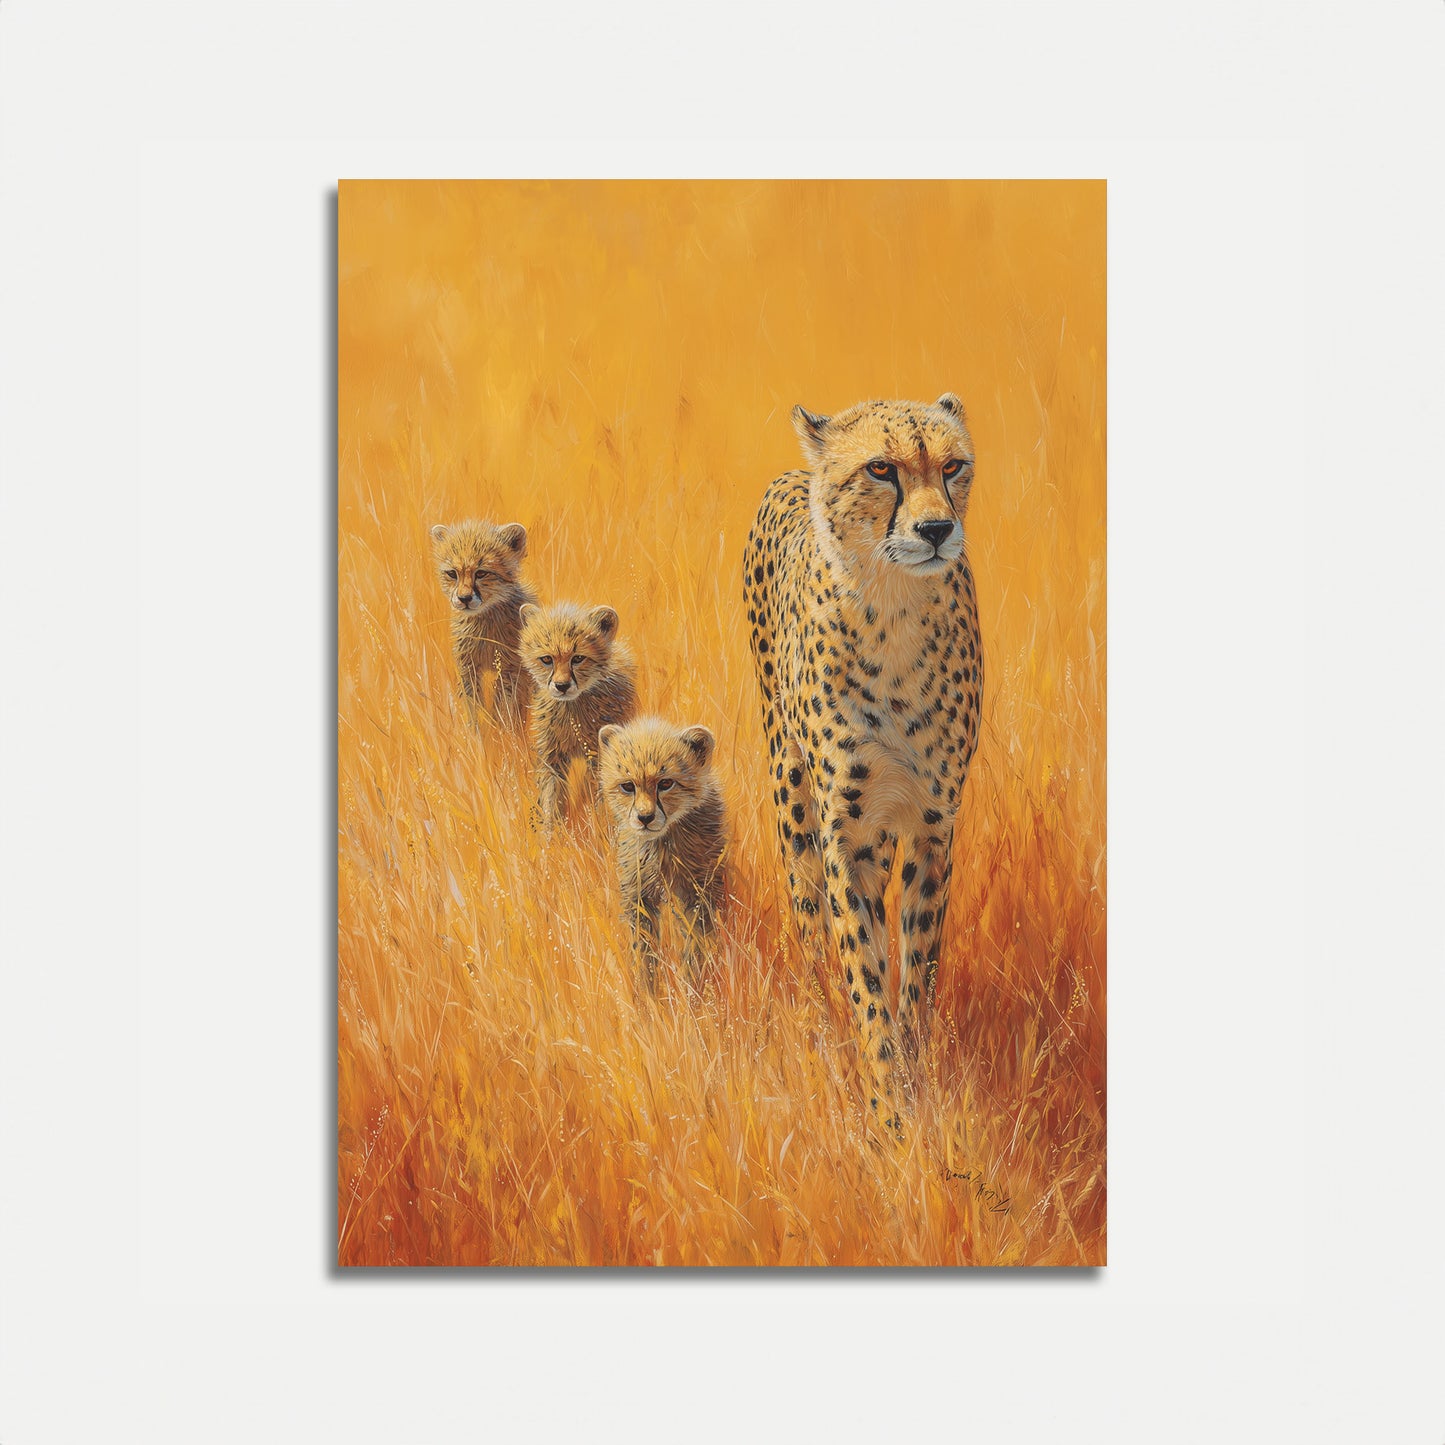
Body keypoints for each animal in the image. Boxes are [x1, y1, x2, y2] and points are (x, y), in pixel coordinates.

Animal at [429, 520, 536, 724]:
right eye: (452, 573)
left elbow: (503, 706)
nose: (464, 598)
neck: (484, 620)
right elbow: (472, 705)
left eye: (481, 573)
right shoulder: (468, 668)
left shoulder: (510, 670)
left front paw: (500, 730)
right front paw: (476, 729)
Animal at [518, 601, 639, 829]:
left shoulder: (597, 757)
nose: (562, 686)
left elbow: (597, 796)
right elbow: (552, 797)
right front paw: (552, 834)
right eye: (547, 659)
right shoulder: (553, 758)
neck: (571, 709)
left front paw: (598, 829)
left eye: (578, 658)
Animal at [598, 717, 727, 991]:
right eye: (628, 786)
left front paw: (692, 991)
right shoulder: (639, 898)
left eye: (666, 783)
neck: (662, 843)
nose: (645, 818)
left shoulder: (697, 895)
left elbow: (695, 947)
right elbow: (644, 952)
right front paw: (648, 995)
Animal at [742, 393, 983, 1130]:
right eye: (881, 468)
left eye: (952, 465)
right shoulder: (845, 831)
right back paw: (816, 1025)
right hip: (792, 793)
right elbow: (864, 971)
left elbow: (918, 967)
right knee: (811, 926)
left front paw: (917, 1081)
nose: (936, 529)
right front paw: (886, 1112)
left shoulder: (933, 825)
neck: (894, 608)